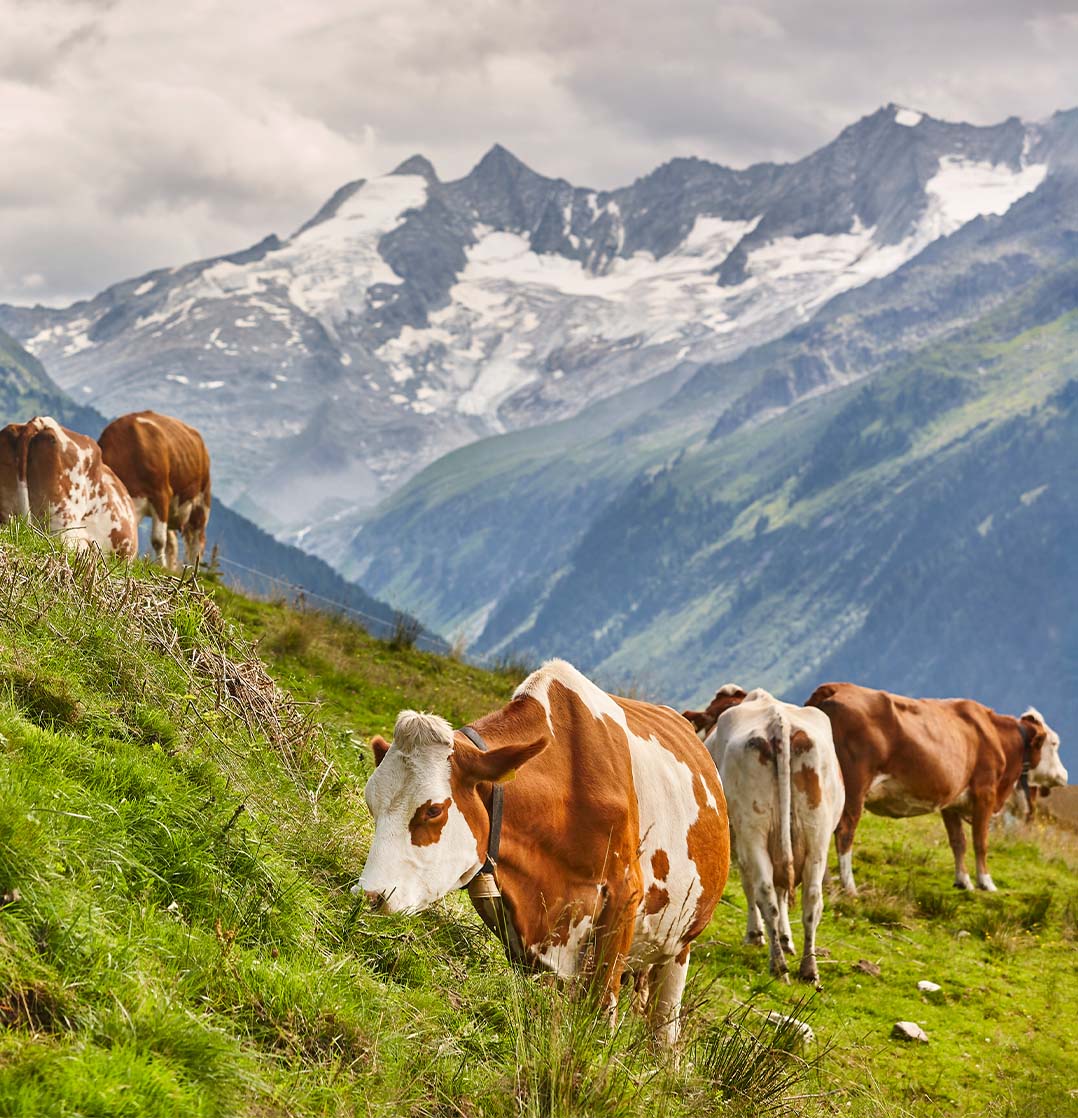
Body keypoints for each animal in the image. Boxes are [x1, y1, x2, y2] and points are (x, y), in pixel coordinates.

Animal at [98, 411, 211, 571]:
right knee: (175, 543)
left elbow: (158, 540)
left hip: (201, 500)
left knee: (197, 541)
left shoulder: (161, 494)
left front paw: (160, 566)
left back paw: (190, 569)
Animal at [356, 659, 730, 1045]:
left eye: (433, 810)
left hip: (679, 945)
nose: (370, 895)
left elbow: (601, 1008)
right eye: (372, 803)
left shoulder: (625, 895)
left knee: (664, 1033)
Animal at [704, 687, 843, 985]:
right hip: (817, 834)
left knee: (764, 891)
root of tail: (779, 721)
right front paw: (785, 937)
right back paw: (808, 969)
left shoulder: (739, 843)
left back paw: (778, 965)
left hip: (753, 831)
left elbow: (750, 886)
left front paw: (756, 935)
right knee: (811, 900)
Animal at [805, 683, 1069, 895]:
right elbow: (980, 842)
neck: (997, 737)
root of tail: (834, 687)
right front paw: (986, 882)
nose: (1065, 775)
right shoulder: (985, 792)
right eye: (1055, 743)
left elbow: (958, 842)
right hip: (854, 786)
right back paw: (849, 887)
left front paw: (963, 881)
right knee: (844, 831)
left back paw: (825, 884)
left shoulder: (952, 801)